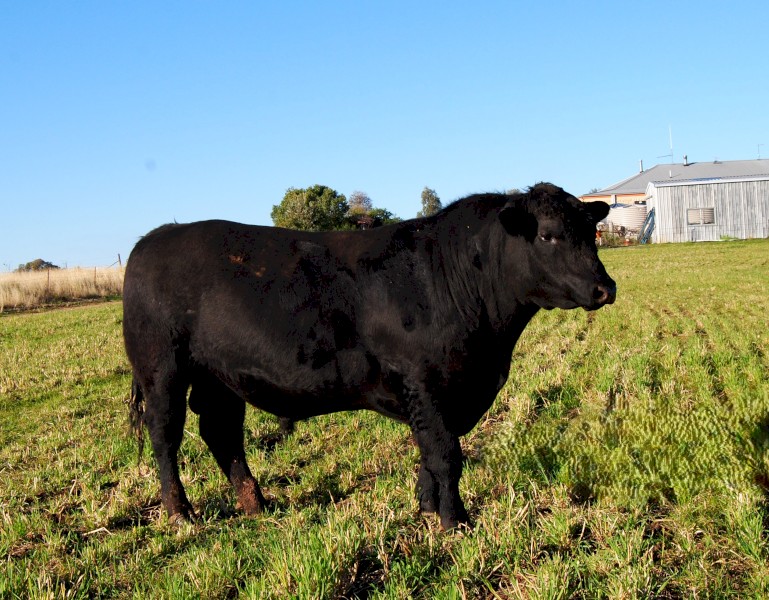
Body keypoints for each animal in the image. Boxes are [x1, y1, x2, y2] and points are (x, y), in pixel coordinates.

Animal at [123, 183, 615, 530]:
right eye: (548, 235)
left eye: (590, 232)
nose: (604, 287)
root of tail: (156, 236)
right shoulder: (425, 384)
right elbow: (445, 455)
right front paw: (456, 522)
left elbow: (430, 455)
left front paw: (426, 508)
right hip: (161, 370)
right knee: (166, 436)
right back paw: (180, 513)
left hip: (220, 377)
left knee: (220, 431)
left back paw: (256, 504)